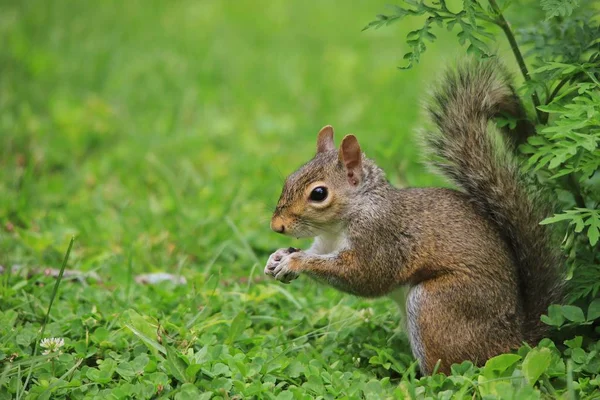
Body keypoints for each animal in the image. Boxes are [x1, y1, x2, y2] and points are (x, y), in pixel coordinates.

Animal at [262, 58, 564, 376]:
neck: (346, 219)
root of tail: (518, 339)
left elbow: (365, 276)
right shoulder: (325, 244)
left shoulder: (381, 239)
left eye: (319, 194)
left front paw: (296, 261)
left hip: (437, 305)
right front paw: (277, 257)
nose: (276, 226)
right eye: (290, 178)